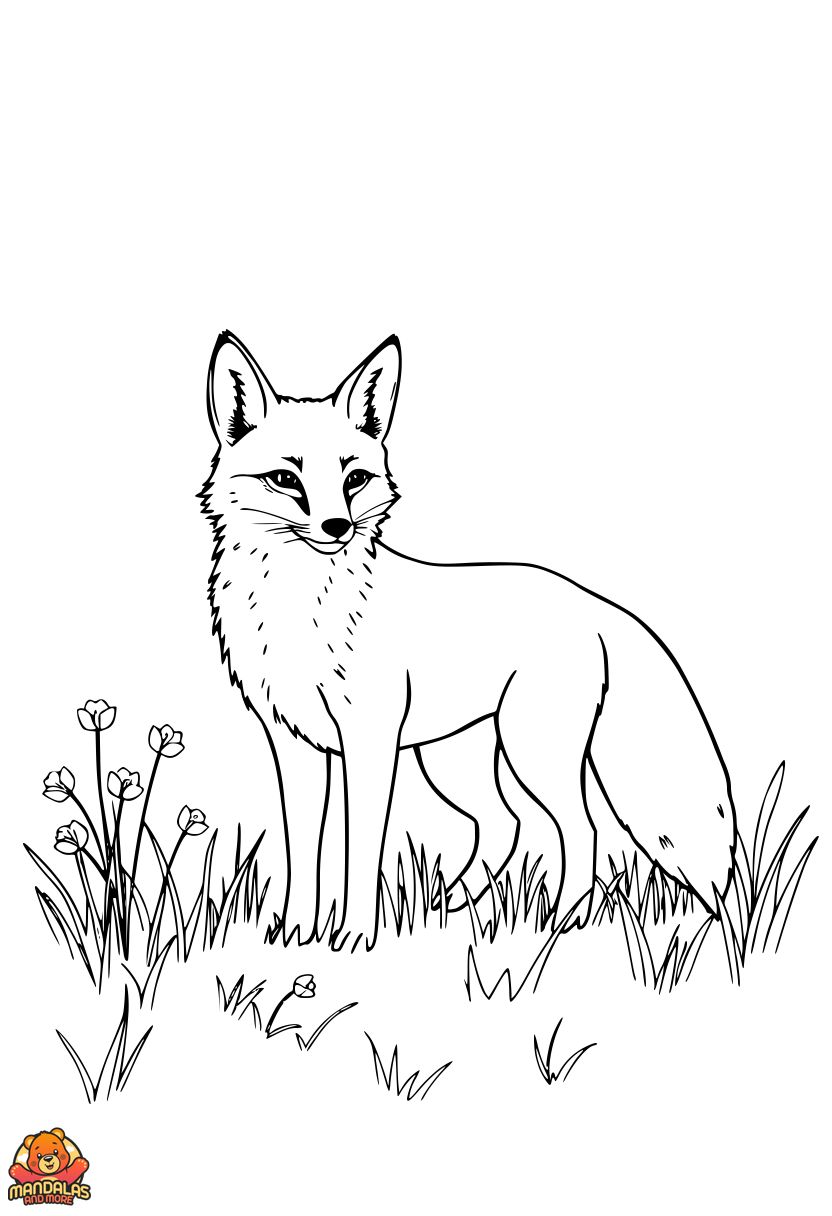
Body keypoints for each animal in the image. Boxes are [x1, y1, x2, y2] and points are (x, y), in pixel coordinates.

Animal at [200, 331, 737, 949]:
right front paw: (292, 936)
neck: (301, 608)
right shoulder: (294, 746)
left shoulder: (369, 742)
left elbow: (362, 849)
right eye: (286, 480)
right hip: (451, 761)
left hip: (531, 752)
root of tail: (593, 603)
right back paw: (454, 907)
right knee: (505, 823)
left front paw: (355, 938)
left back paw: (558, 923)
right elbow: (301, 852)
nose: (338, 528)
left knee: (580, 830)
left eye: (354, 479)